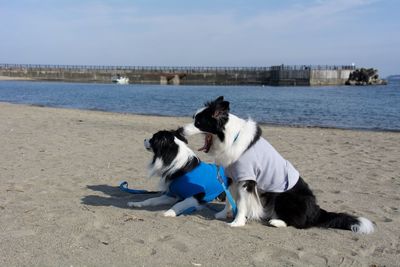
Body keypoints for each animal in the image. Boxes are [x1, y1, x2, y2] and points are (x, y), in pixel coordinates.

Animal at [182, 96, 376, 234]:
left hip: (284, 195)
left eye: (198, 122)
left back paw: (276, 221)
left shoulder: (246, 178)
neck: (230, 137)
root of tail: (316, 210)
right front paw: (224, 214)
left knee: (299, 223)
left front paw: (237, 222)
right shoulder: (231, 175)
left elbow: (242, 202)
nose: (180, 130)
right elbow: (230, 199)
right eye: (194, 119)